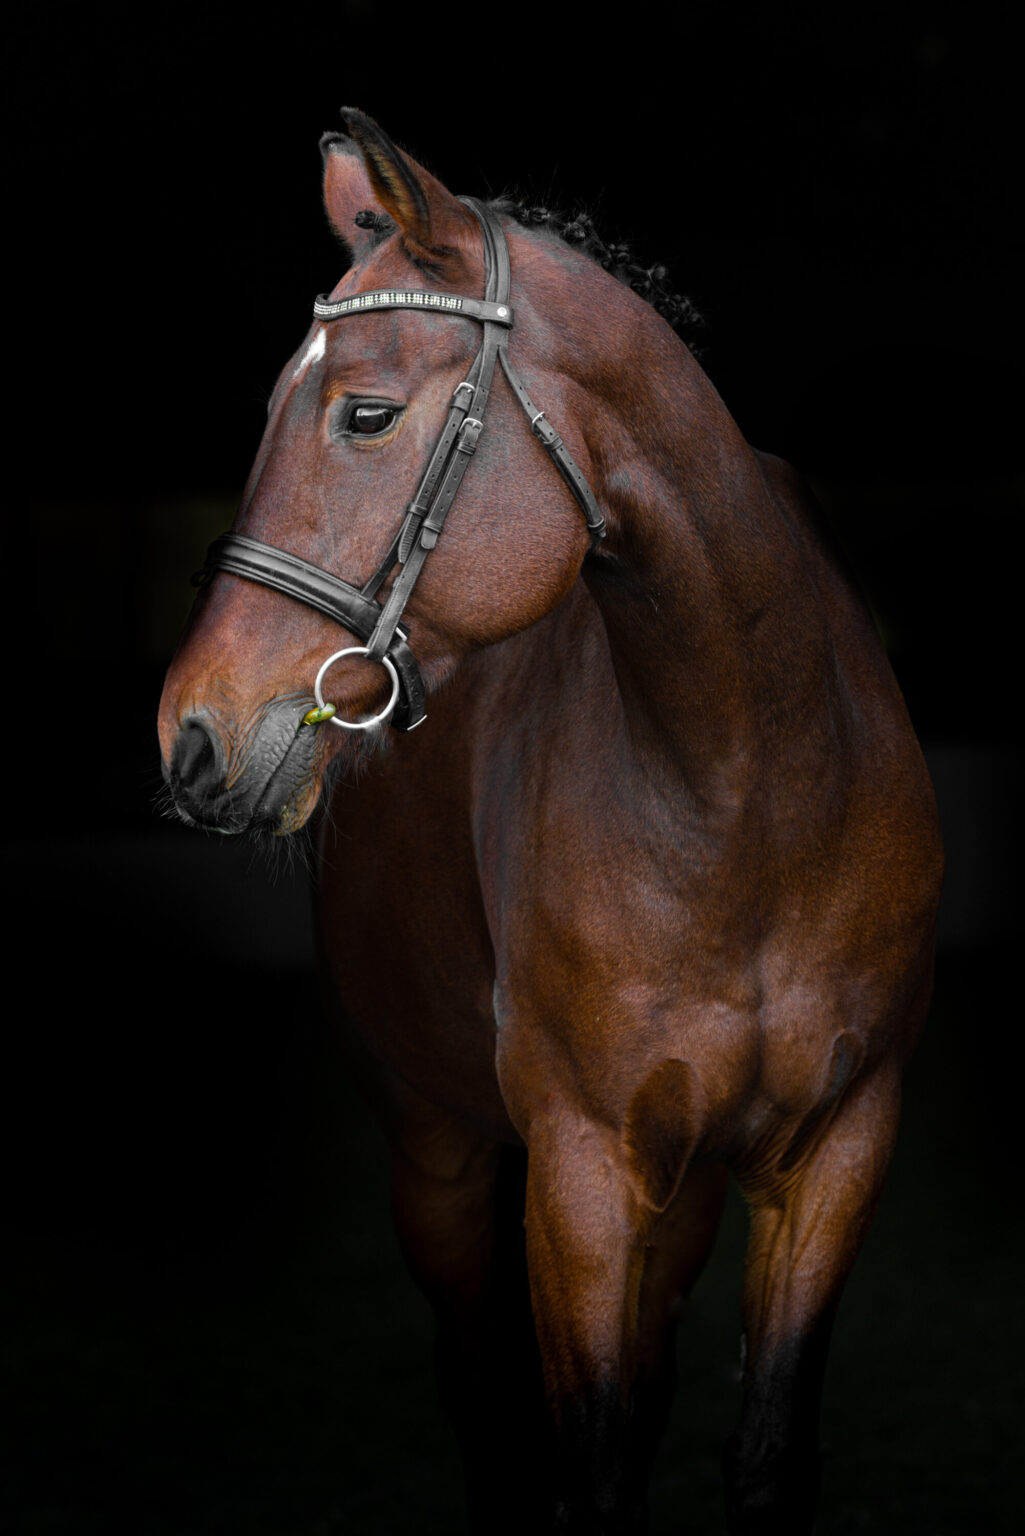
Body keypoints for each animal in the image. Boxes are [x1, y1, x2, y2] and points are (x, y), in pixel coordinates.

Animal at [158, 108, 944, 1533]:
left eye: (364, 413)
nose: (188, 736)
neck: (750, 793)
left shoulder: (836, 1153)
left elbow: (755, 1451)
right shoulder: (579, 1175)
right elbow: (580, 1465)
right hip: (442, 1161)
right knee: (484, 1398)